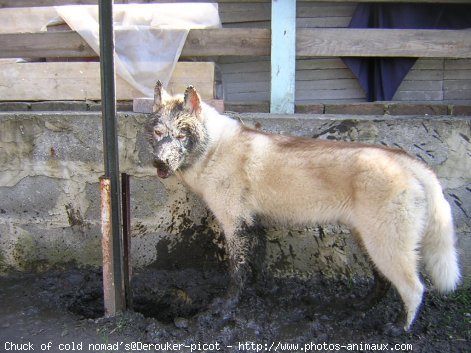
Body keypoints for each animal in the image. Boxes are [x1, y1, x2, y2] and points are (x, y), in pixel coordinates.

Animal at [148, 80, 460, 330]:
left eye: (181, 135)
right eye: (158, 133)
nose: (159, 163)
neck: (213, 148)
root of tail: (405, 160)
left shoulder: (235, 225)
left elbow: (236, 273)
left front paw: (226, 309)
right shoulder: (252, 224)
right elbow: (253, 269)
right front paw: (257, 293)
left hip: (386, 247)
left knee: (414, 288)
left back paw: (399, 328)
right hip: (369, 242)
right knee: (383, 282)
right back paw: (361, 307)